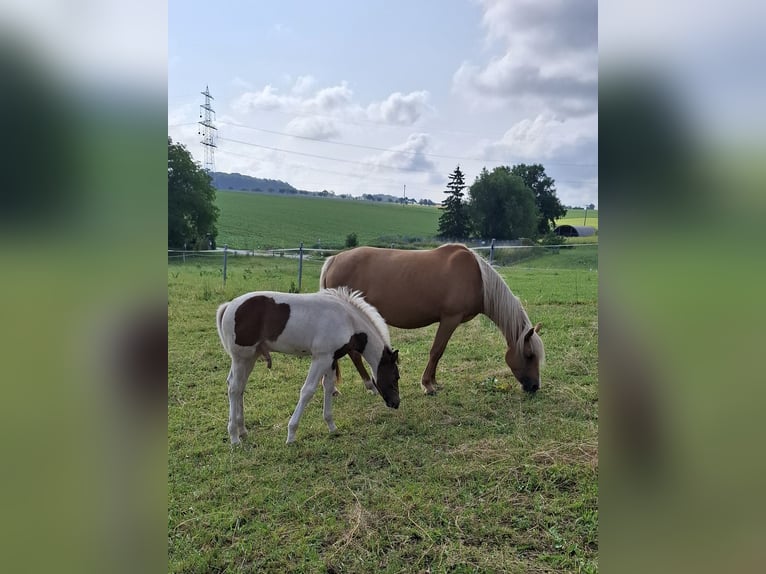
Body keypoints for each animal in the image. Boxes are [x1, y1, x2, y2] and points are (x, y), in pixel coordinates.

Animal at [216, 287, 400, 444]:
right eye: (395, 376)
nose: (396, 403)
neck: (347, 320)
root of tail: (228, 306)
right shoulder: (320, 358)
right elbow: (308, 391)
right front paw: (291, 434)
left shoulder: (331, 358)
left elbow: (328, 387)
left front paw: (331, 426)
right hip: (241, 358)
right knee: (234, 388)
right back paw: (234, 437)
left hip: (250, 357)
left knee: (239, 387)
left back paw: (242, 430)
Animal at [320, 243, 544, 394]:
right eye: (530, 355)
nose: (534, 386)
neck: (478, 279)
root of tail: (334, 260)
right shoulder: (450, 319)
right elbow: (437, 351)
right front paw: (427, 385)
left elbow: (439, 352)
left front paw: (434, 382)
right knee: (353, 354)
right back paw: (368, 385)